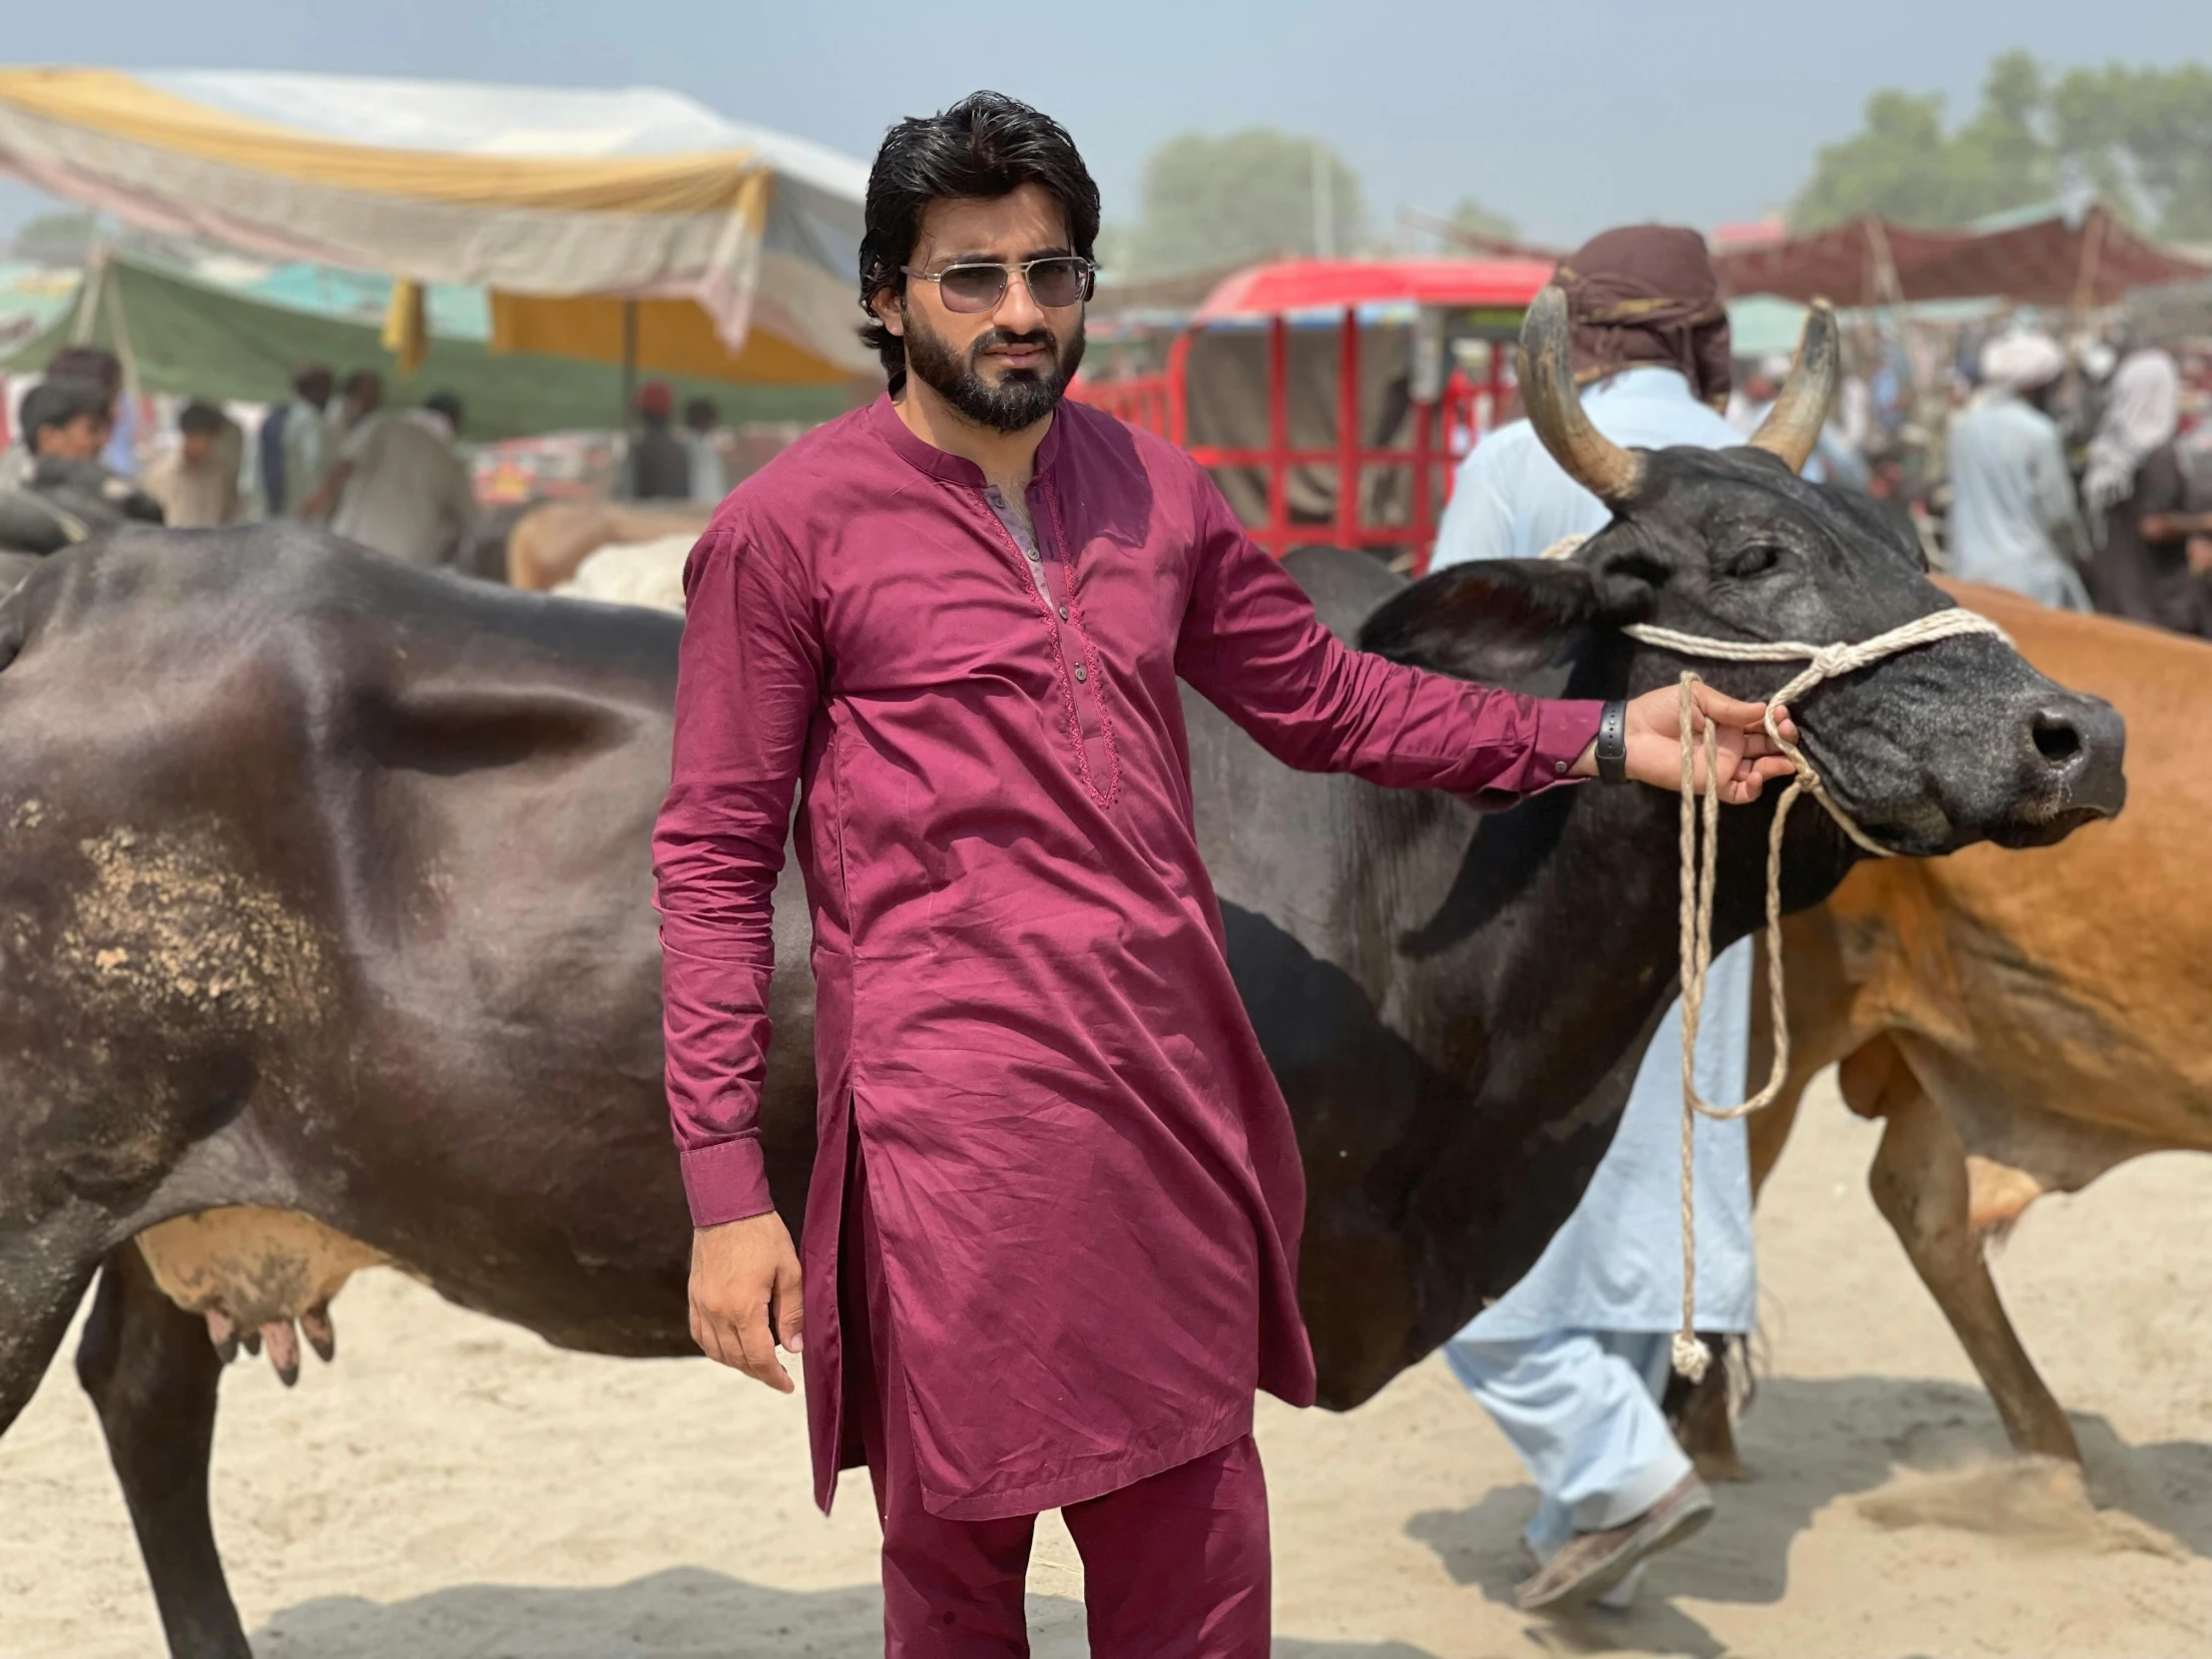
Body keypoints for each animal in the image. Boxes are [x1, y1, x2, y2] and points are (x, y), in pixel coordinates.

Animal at [0, 499, 2114, 1654]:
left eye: (1901, 533)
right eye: (1753, 552)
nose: (2071, 729)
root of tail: (85, 577)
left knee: (150, 1410)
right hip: (36, 1199)